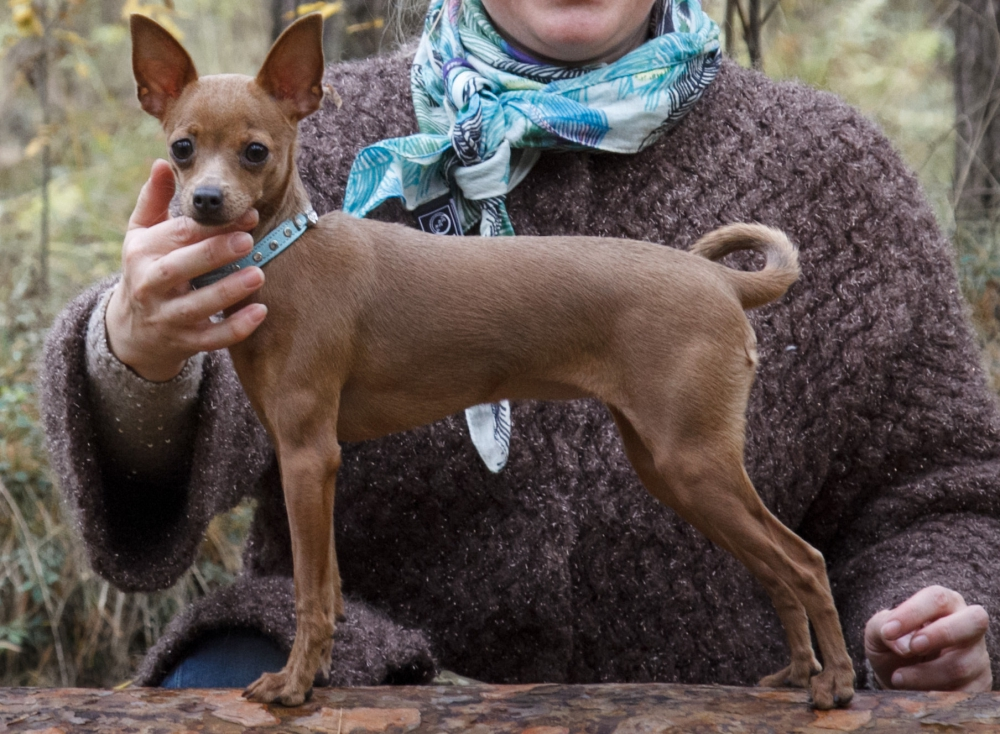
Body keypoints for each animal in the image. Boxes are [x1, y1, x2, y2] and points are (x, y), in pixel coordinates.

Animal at [129, 12, 856, 712]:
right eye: (182, 148)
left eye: (255, 151)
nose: (205, 201)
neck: (283, 254)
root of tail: (721, 282)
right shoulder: (307, 457)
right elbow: (330, 586)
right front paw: (321, 675)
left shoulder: (308, 456)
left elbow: (309, 590)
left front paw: (294, 685)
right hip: (671, 466)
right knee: (776, 569)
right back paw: (796, 673)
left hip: (693, 462)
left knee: (804, 562)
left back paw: (835, 685)